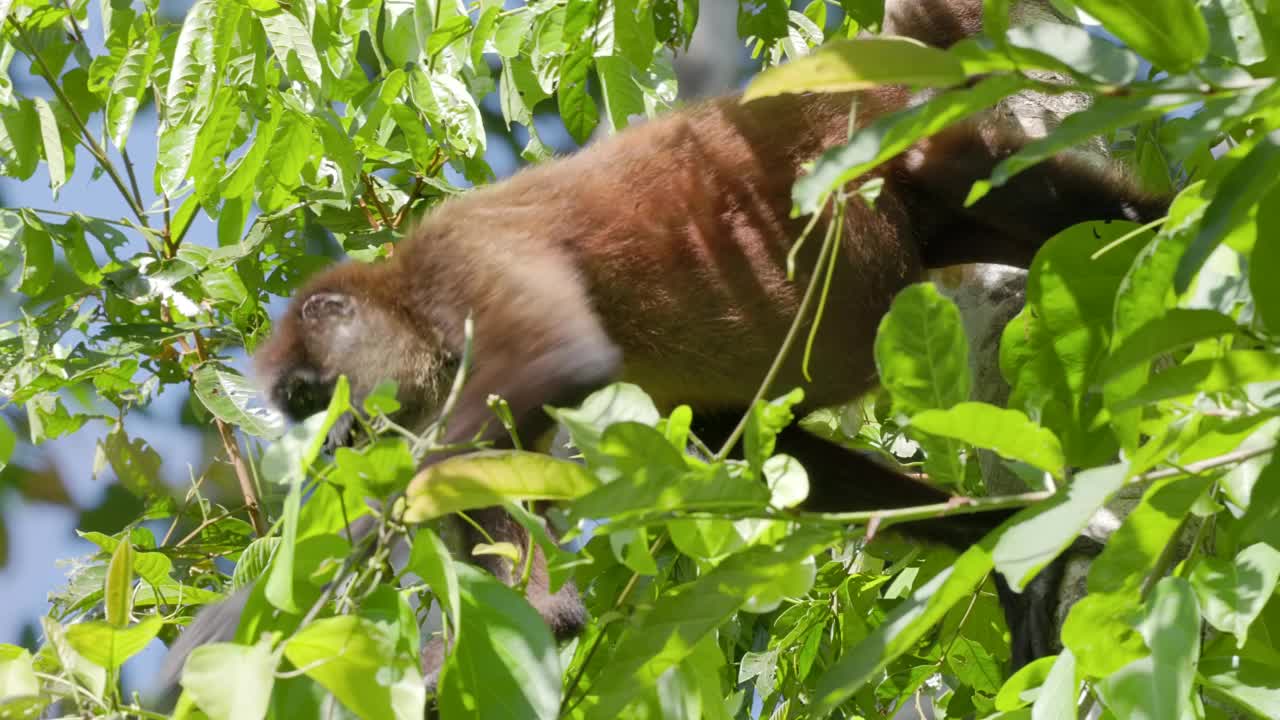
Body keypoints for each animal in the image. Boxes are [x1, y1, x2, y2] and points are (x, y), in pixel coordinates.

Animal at [154, 0, 1167, 696]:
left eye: (310, 401)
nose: (335, 445)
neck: (409, 299)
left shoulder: (463, 262)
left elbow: (557, 369)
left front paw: (235, 625)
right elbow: (543, 599)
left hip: (930, 158)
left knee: (1079, 211)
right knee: (742, 434)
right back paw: (1010, 544)